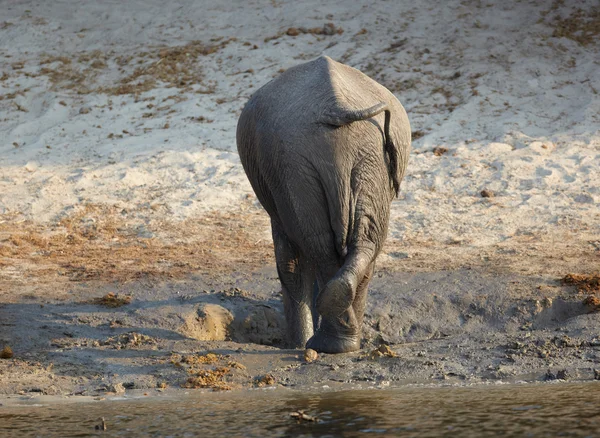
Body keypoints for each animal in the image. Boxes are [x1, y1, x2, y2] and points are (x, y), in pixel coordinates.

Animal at [237, 55, 410, 352]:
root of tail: (337, 107)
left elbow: (290, 263)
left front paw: (298, 345)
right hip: (354, 159)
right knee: (358, 243)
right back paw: (340, 340)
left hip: (306, 163)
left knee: (320, 245)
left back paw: (328, 342)